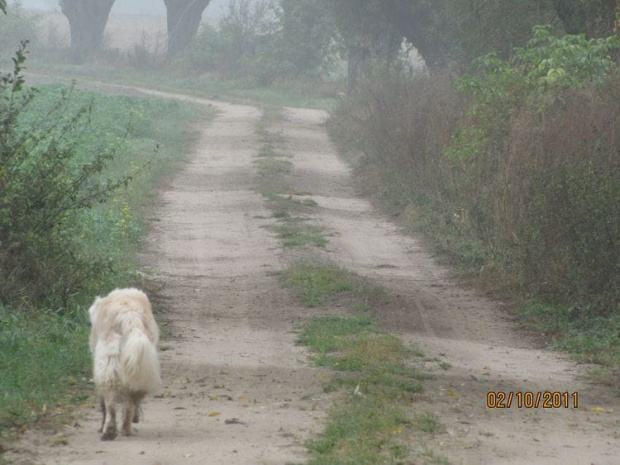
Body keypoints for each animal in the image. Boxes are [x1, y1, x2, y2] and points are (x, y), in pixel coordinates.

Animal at [89, 286, 163, 438]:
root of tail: (130, 318)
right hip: (136, 364)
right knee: (125, 403)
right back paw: (120, 429)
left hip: (109, 362)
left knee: (115, 403)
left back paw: (116, 429)